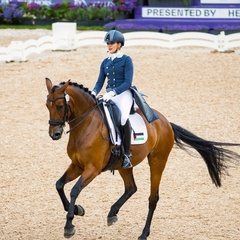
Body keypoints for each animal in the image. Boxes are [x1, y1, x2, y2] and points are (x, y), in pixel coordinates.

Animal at [45, 78, 240, 239]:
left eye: (60, 106)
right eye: (47, 105)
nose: (55, 134)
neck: (86, 124)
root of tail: (164, 121)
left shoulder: (92, 169)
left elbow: (74, 190)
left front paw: (69, 224)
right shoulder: (77, 165)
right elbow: (59, 185)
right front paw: (77, 210)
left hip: (157, 161)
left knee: (152, 198)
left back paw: (144, 233)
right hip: (124, 165)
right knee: (131, 188)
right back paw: (112, 213)